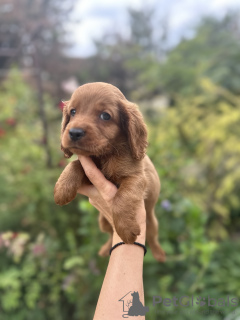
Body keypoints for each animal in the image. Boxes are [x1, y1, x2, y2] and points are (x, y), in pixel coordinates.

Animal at [54, 81, 166, 262]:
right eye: (73, 112)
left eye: (105, 116)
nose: (74, 132)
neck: (106, 155)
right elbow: (75, 164)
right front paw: (62, 190)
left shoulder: (137, 177)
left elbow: (122, 198)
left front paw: (126, 230)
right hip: (103, 222)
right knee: (110, 235)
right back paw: (106, 249)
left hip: (152, 222)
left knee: (152, 237)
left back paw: (159, 254)